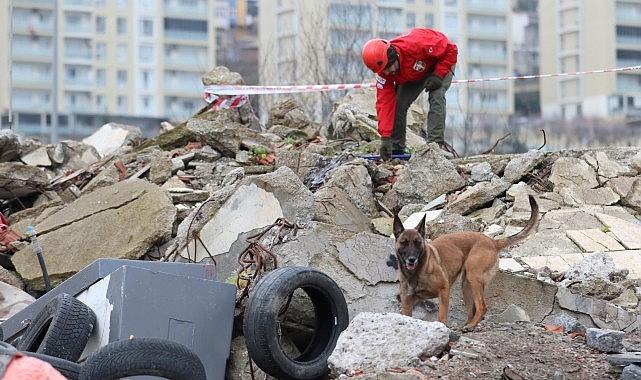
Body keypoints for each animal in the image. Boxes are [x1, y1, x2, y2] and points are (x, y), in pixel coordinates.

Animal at [392, 194, 536, 332]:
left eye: (418, 243)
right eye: (404, 242)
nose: (412, 259)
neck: (416, 272)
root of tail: (492, 241)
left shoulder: (444, 289)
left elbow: (442, 315)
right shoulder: (407, 303)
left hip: (473, 277)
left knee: (482, 307)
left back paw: (470, 326)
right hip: (466, 285)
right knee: (472, 310)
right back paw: (468, 325)